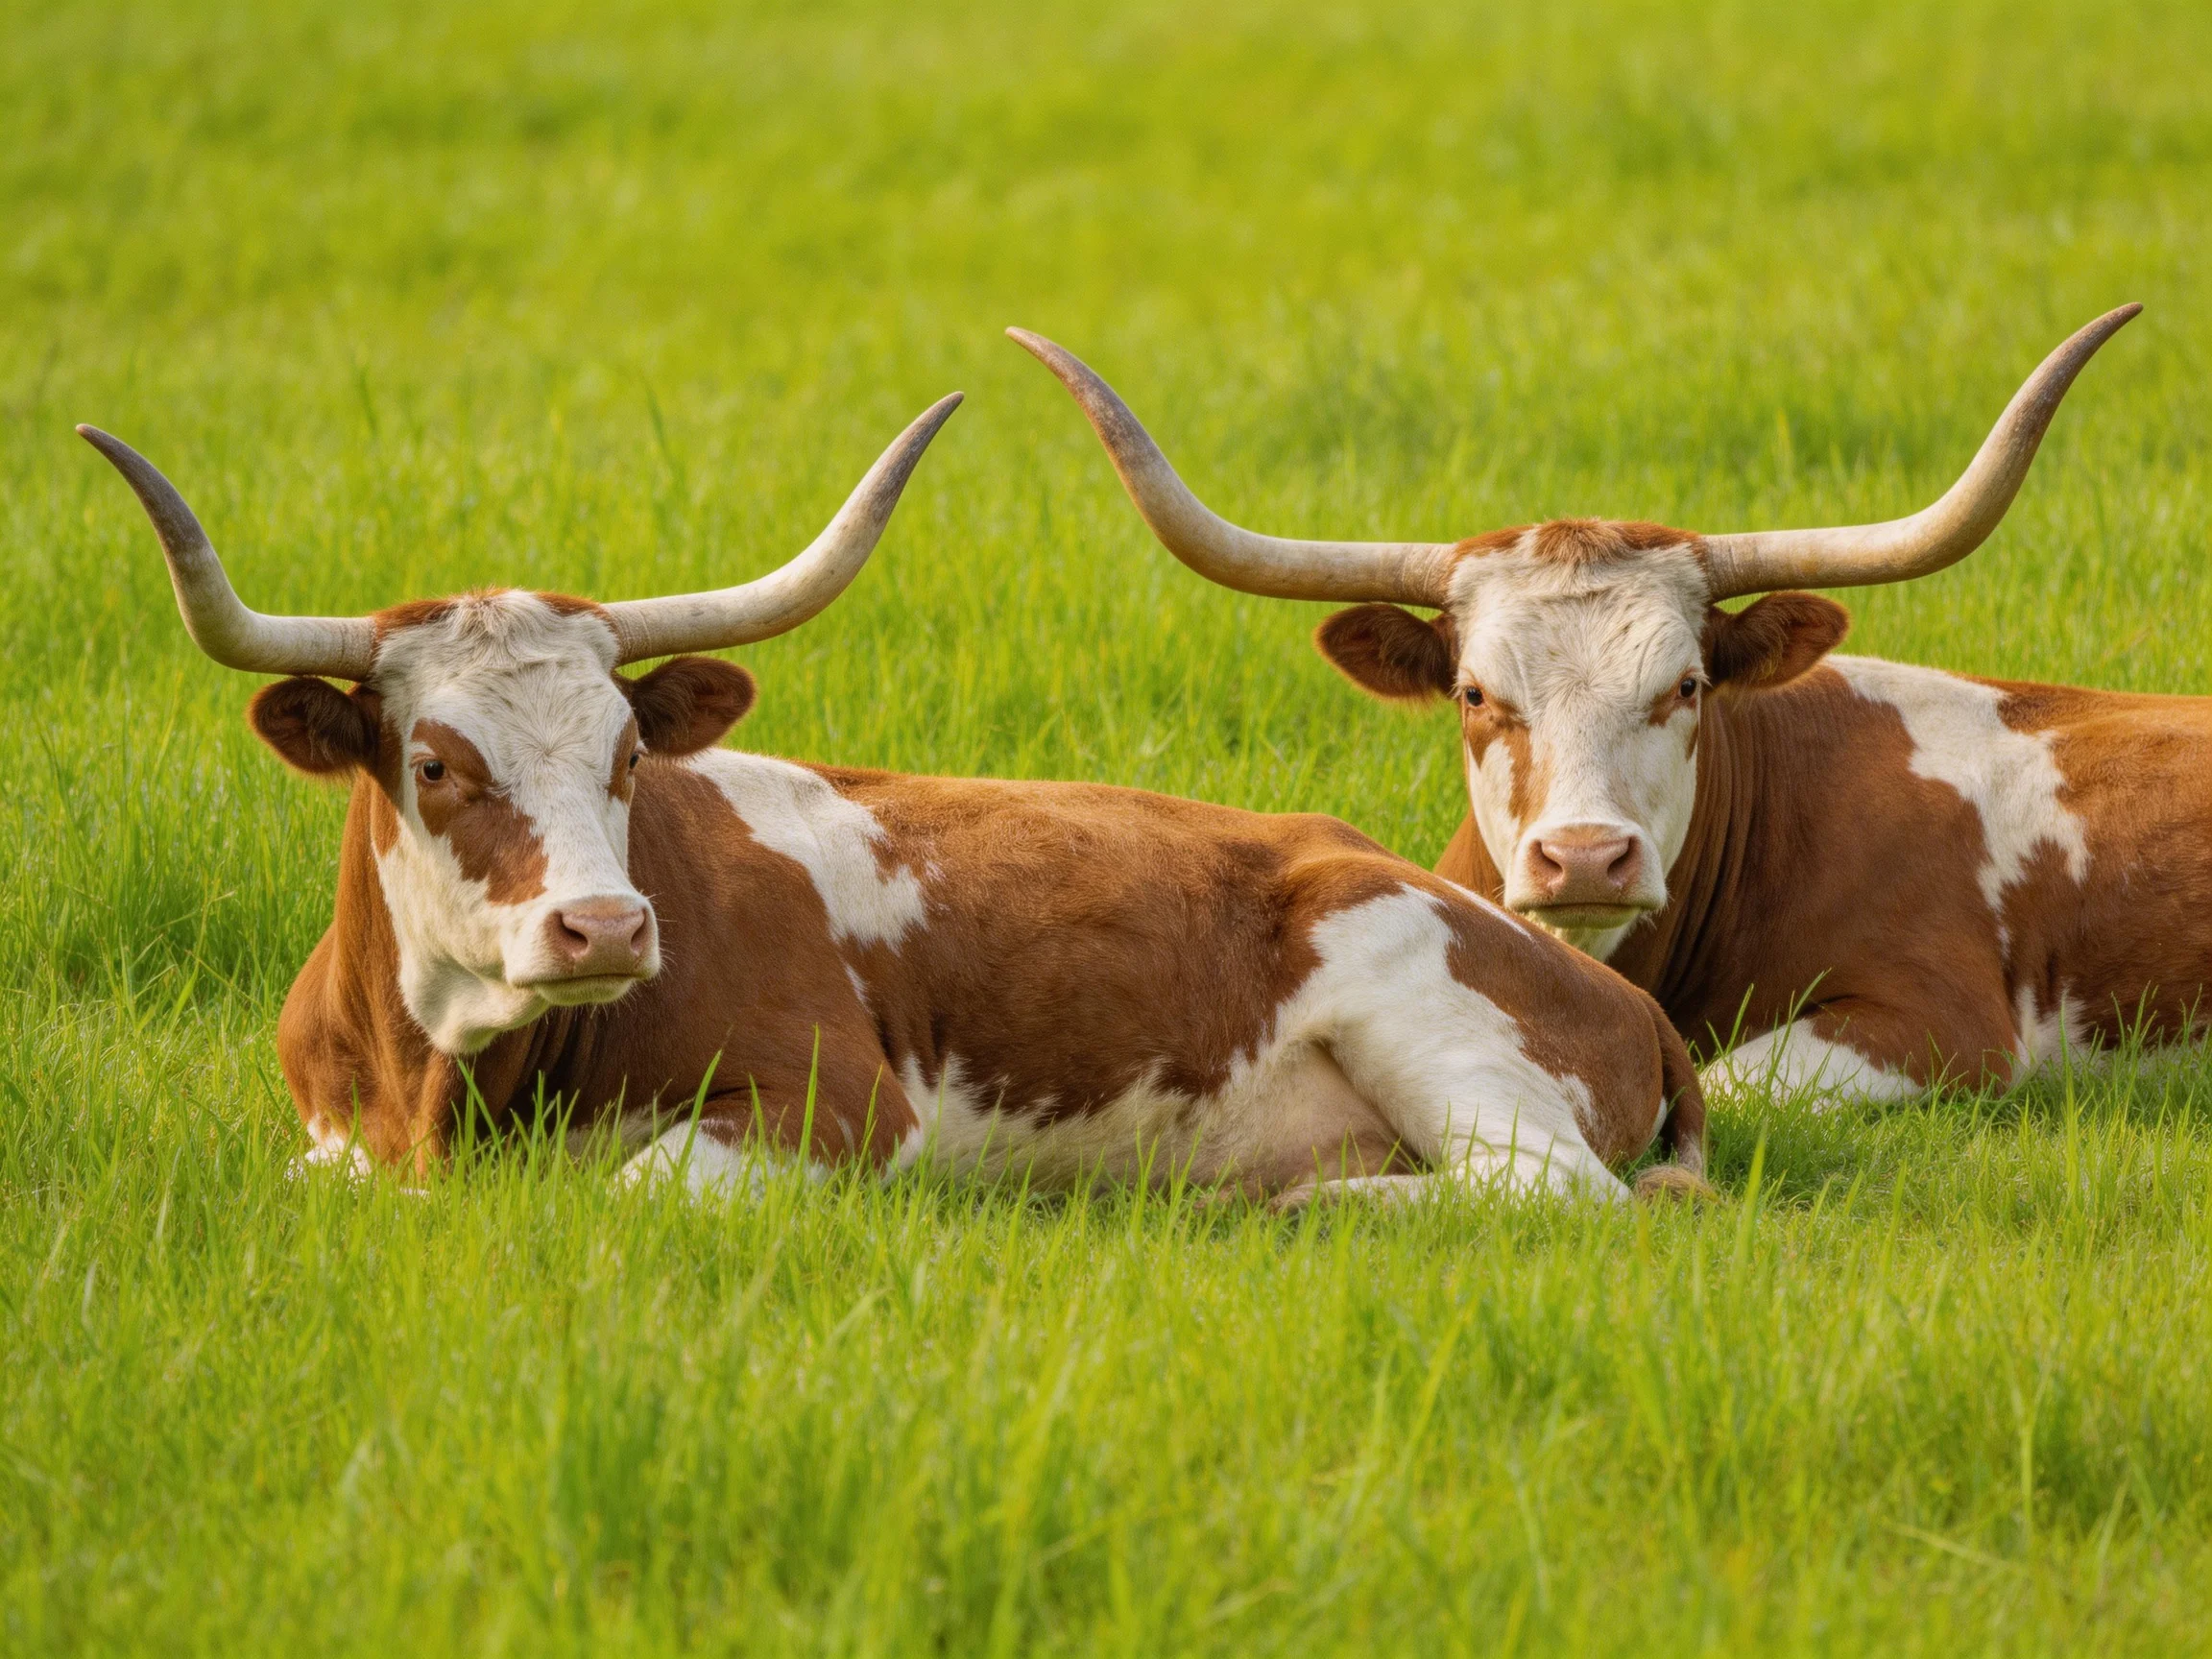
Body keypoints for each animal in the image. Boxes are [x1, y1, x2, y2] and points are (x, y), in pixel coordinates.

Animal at [79, 397, 1708, 1205]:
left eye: (625, 752)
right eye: (432, 762)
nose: (603, 929)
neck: (443, 1090)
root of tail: (1622, 993)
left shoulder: (836, 1110)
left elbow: (626, 1195)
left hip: (1431, 1020)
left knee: (1551, 1195)